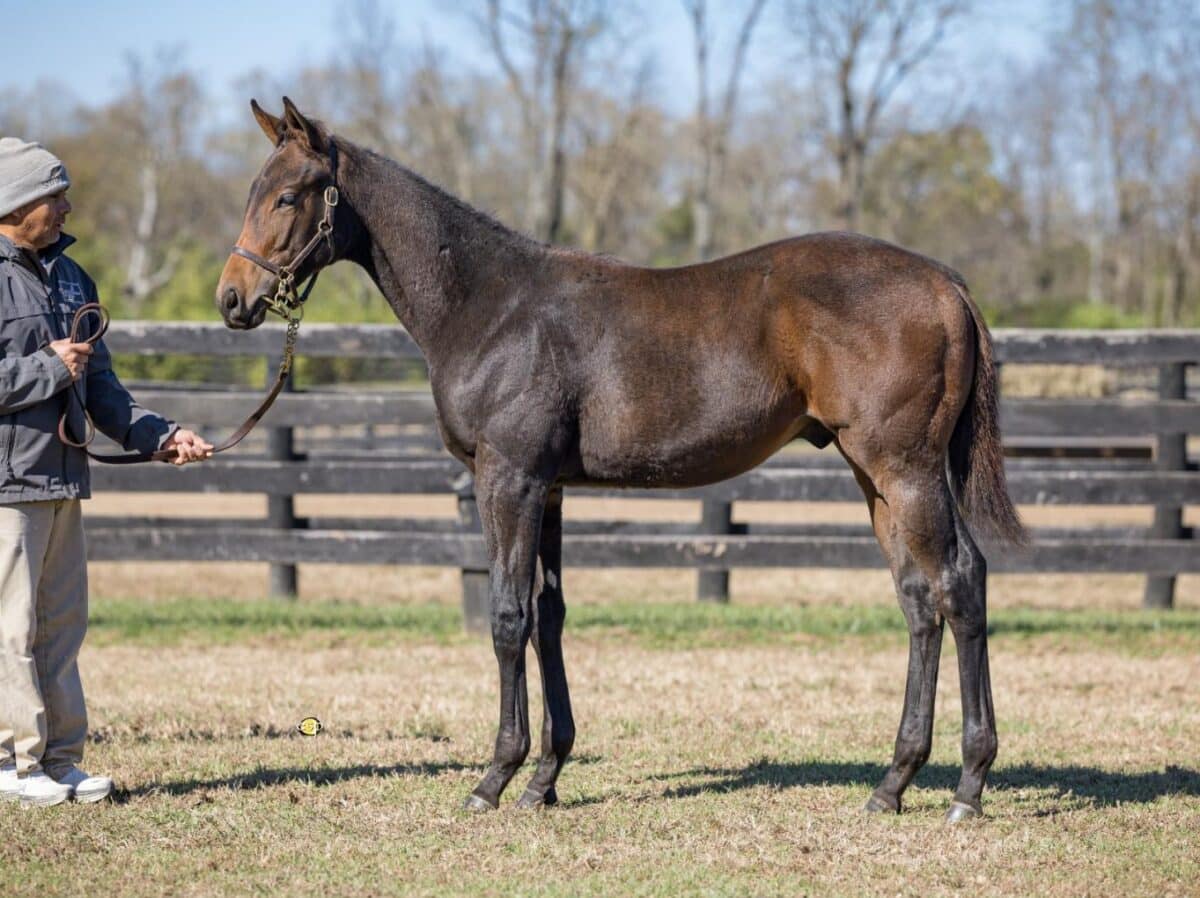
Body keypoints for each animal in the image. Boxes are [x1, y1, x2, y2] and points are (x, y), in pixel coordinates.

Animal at [213, 96, 1022, 821]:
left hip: (904, 471)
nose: (232, 299)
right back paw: (893, 783)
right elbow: (548, 615)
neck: (490, 306)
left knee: (959, 583)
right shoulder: (550, 489)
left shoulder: (507, 479)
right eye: (251, 190)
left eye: (287, 195)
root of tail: (945, 284)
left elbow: (507, 617)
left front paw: (495, 779)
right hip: (875, 478)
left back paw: (968, 786)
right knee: (919, 600)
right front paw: (544, 780)